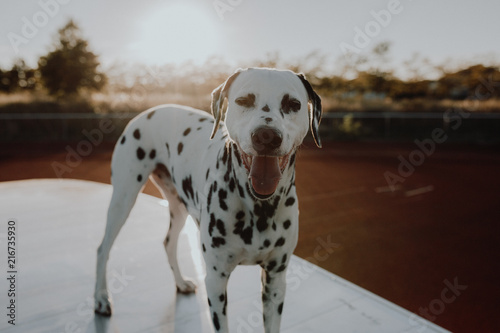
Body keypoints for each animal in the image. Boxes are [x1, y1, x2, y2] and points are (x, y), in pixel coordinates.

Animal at [94, 66, 322, 330]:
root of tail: (151, 110)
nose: (266, 136)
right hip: (123, 198)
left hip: (178, 207)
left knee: (168, 242)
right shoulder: (215, 280)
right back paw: (100, 299)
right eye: (244, 101)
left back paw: (180, 282)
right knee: (103, 248)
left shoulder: (275, 281)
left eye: (293, 104)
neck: (258, 208)